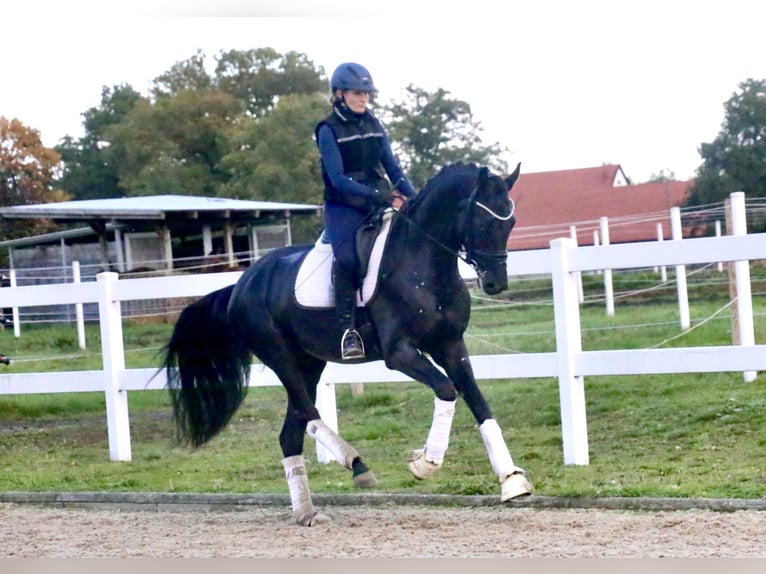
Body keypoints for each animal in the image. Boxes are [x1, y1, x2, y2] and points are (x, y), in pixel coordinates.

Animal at [162, 161, 533, 526]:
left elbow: (478, 401)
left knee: (291, 432)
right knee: (308, 412)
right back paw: (357, 465)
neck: (423, 265)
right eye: (484, 219)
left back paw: (307, 513)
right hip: (279, 356)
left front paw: (512, 481)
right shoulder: (400, 353)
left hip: (309, 362)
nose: (496, 284)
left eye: (511, 221)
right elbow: (446, 389)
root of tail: (241, 284)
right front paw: (424, 463)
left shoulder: (451, 346)